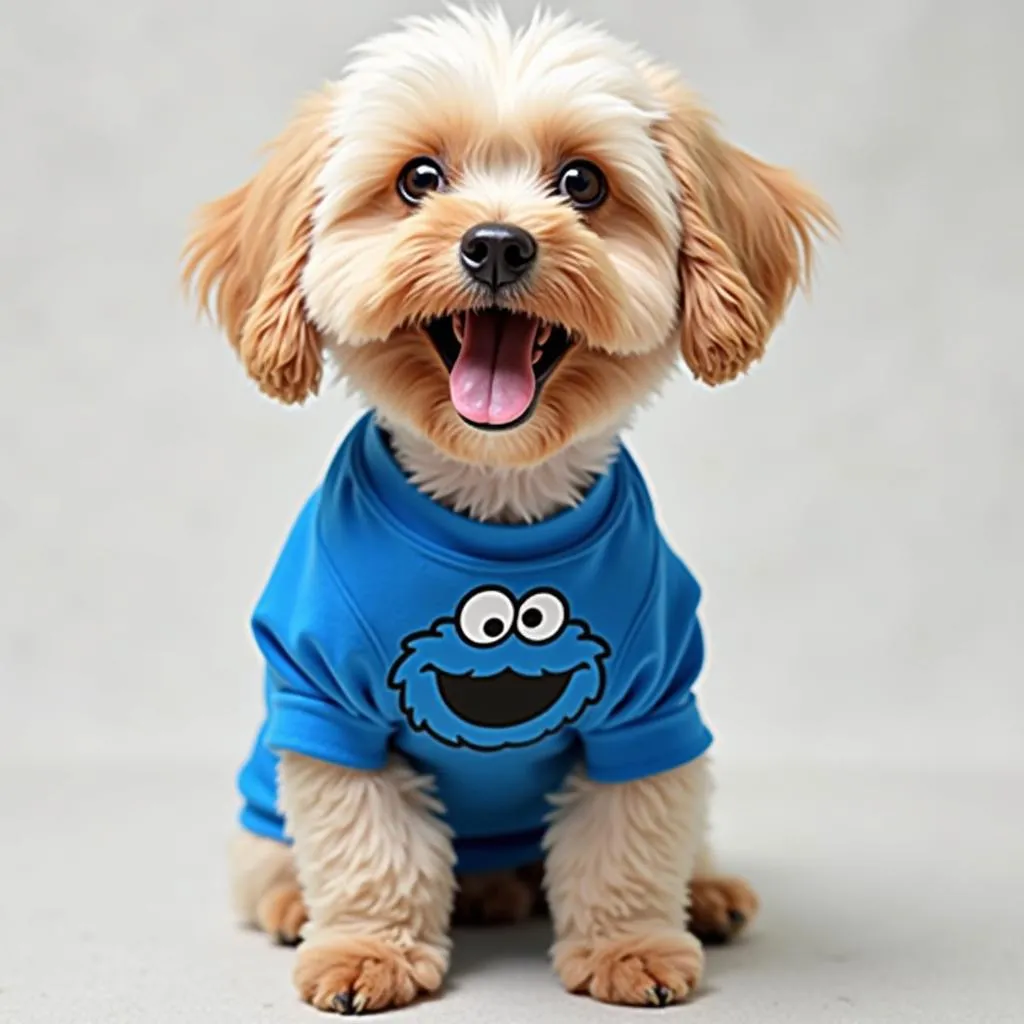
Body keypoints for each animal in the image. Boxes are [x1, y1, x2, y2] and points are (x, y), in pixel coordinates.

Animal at [182, 6, 831, 1015]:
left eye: (582, 183)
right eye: (418, 180)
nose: (496, 243)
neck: (496, 508)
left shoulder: (652, 705)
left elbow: (631, 835)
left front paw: (630, 945)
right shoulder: (325, 702)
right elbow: (366, 843)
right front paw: (365, 950)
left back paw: (704, 891)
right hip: (262, 804)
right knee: (275, 864)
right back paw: (303, 902)